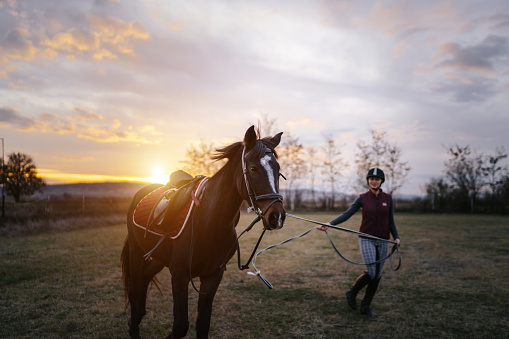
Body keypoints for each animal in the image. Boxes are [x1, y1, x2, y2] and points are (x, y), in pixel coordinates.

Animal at [120, 126, 286, 338]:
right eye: (253, 168)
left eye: (278, 170)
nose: (277, 216)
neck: (209, 223)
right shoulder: (179, 275)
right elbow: (181, 325)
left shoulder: (213, 275)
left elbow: (203, 323)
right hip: (137, 252)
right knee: (134, 290)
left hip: (157, 257)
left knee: (143, 280)